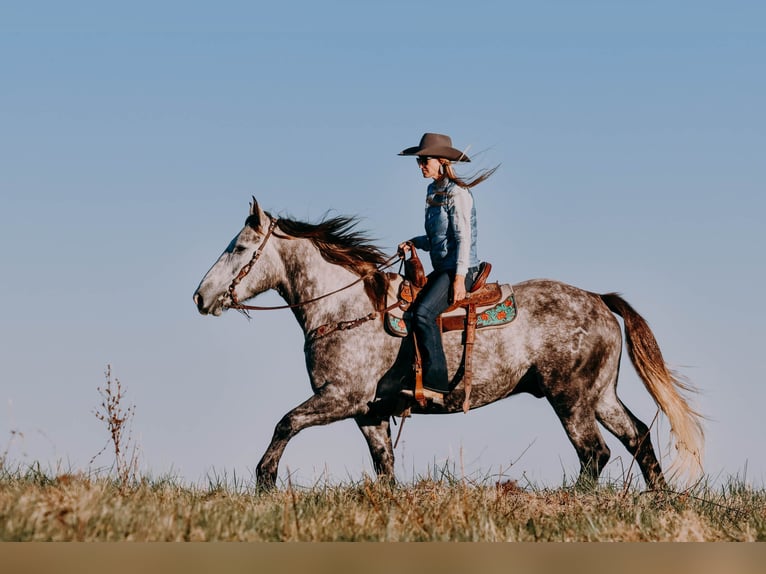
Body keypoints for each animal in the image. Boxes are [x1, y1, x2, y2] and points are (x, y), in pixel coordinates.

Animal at [195, 200, 704, 492]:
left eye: (239, 248)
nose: (201, 297)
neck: (344, 308)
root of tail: (599, 299)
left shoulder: (341, 398)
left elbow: (285, 422)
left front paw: (264, 481)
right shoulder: (370, 412)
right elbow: (384, 465)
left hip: (571, 399)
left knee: (595, 453)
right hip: (600, 395)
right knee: (638, 436)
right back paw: (659, 500)